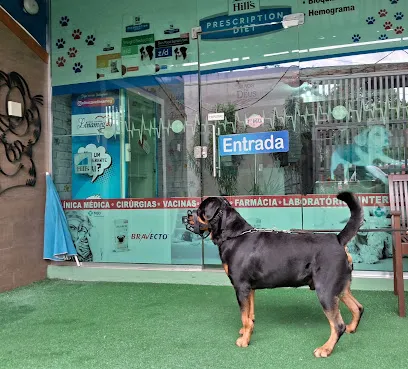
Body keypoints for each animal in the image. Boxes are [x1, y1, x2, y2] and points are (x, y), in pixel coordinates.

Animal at [193, 191, 364, 358]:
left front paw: (244, 340)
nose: (187, 215)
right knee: (358, 307)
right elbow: (249, 315)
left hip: (325, 290)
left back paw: (326, 349)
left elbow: (244, 316)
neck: (234, 235)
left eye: (200, 210)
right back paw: (351, 328)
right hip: (339, 287)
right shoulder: (249, 288)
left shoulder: (241, 287)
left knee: (338, 325)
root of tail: (338, 239)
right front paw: (246, 331)